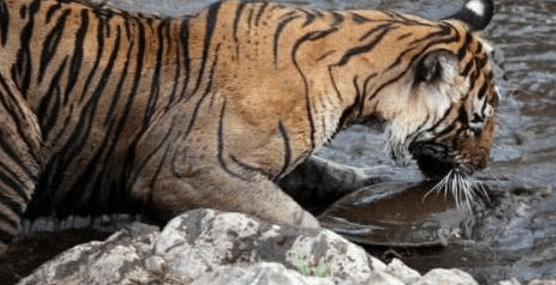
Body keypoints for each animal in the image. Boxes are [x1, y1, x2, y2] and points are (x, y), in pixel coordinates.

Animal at [0, 0, 498, 255]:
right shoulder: (189, 169)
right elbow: (297, 220)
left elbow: (331, 174)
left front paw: (372, 183)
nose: (484, 166)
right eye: (477, 123)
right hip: (17, 151)